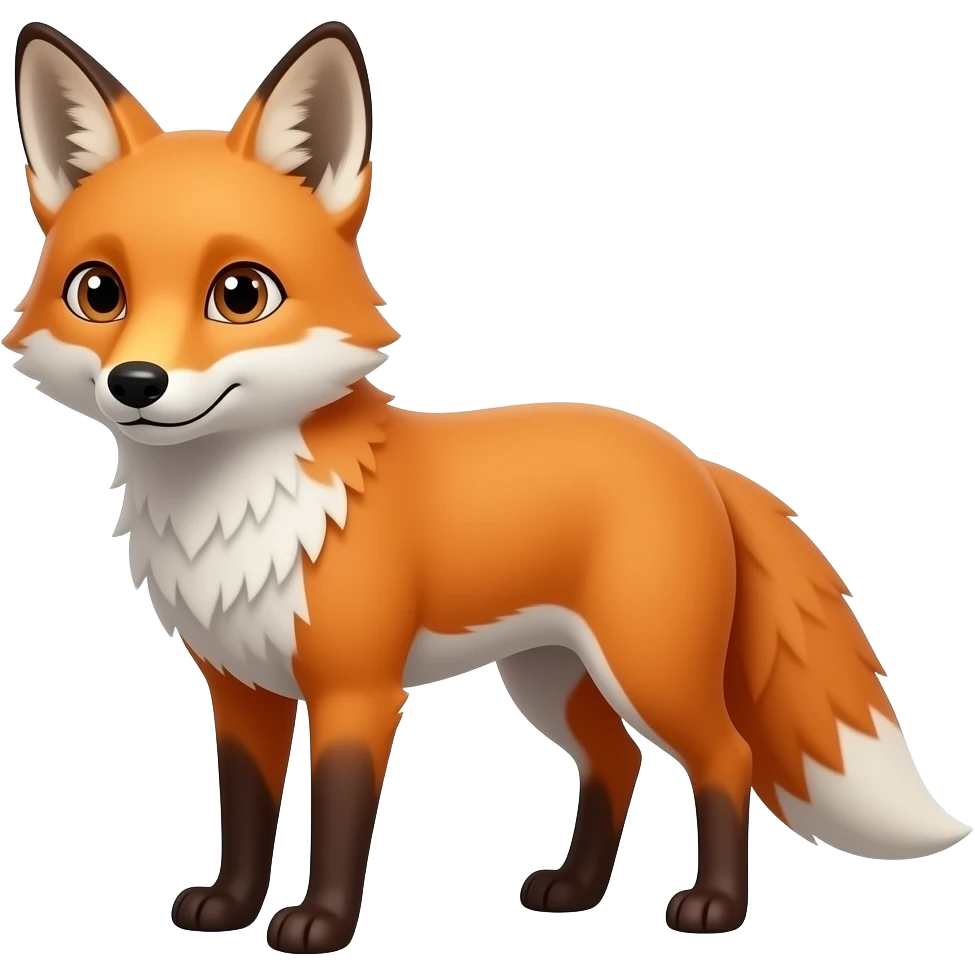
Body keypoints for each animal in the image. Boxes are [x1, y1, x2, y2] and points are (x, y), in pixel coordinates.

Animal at [7, 18, 970, 954]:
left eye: (239, 294)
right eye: (99, 292)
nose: (136, 383)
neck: (239, 508)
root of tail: (691, 457)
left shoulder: (358, 689)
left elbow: (340, 818)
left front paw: (320, 925)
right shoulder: (241, 687)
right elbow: (244, 813)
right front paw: (230, 905)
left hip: (648, 669)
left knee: (722, 758)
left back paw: (713, 907)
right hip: (550, 678)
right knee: (616, 762)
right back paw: (574, 892)